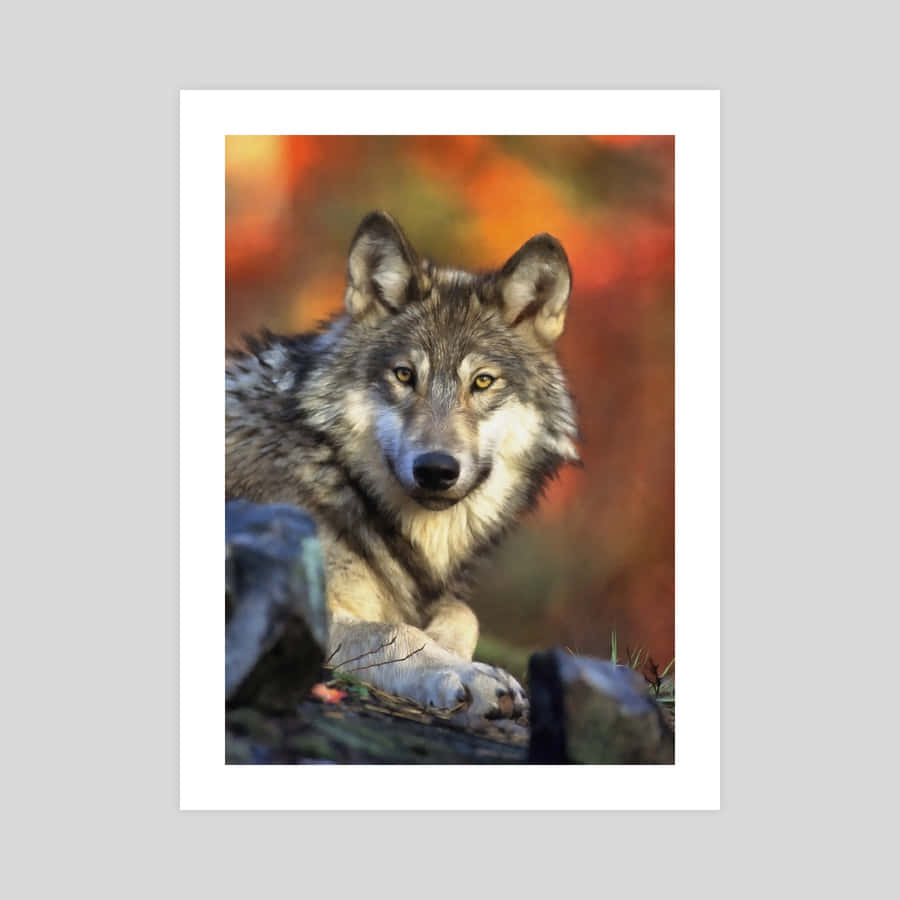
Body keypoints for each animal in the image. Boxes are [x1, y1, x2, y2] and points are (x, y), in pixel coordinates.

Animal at [226, 211, 579, 723]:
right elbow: (396, 632)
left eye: (483, 382)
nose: (436, 469)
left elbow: (462, 614)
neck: (335, 472)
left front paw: (453, 651)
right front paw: (469, 675)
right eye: (405, 375)